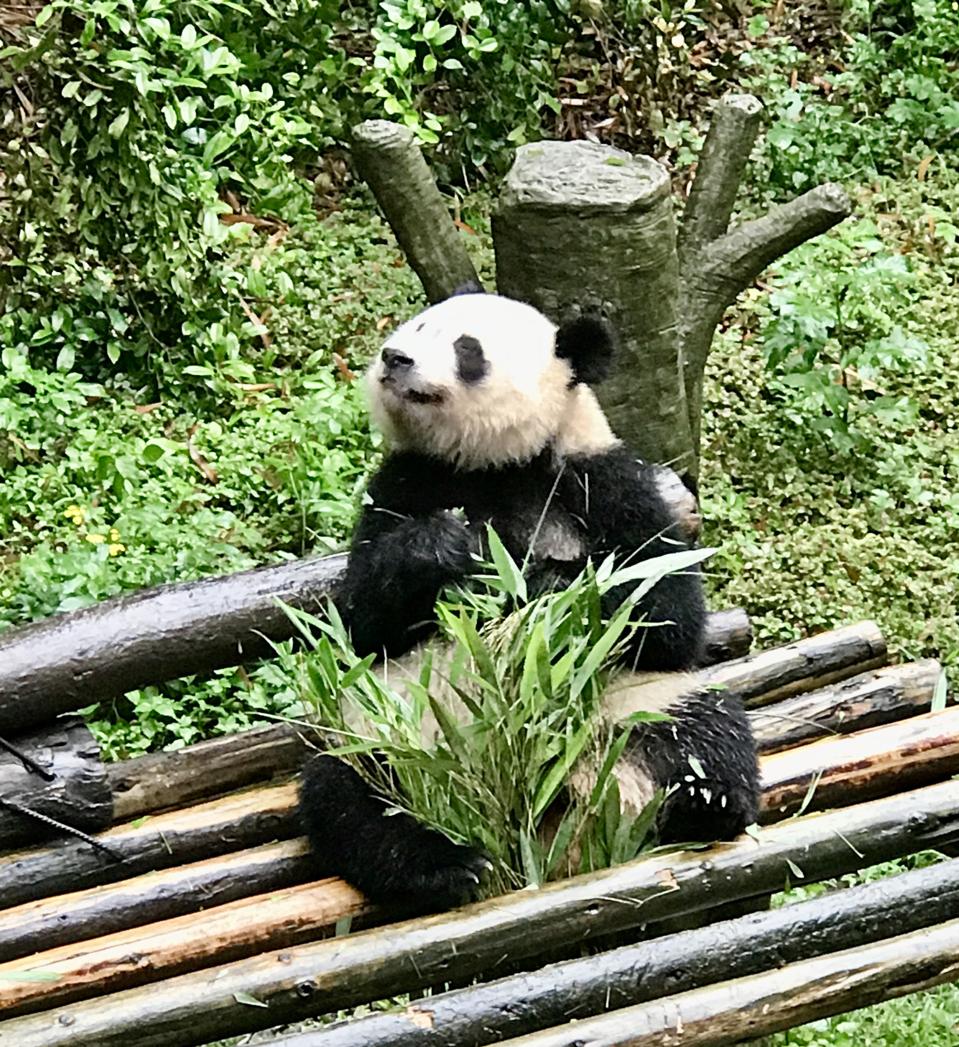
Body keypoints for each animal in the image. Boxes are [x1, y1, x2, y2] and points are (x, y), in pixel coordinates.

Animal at [299, 290, 759, 912]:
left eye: (467, 349)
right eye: (417, 326)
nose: (395, 358)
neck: (494, 466)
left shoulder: (602, 480)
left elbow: (666, 613)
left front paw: (539, 582)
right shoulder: (403, 484)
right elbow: (362, 624)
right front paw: (444, 547)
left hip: (630, 709)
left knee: (706, 729)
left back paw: (706, 807)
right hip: (394, 732)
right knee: (352, 795)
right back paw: (449, 865)